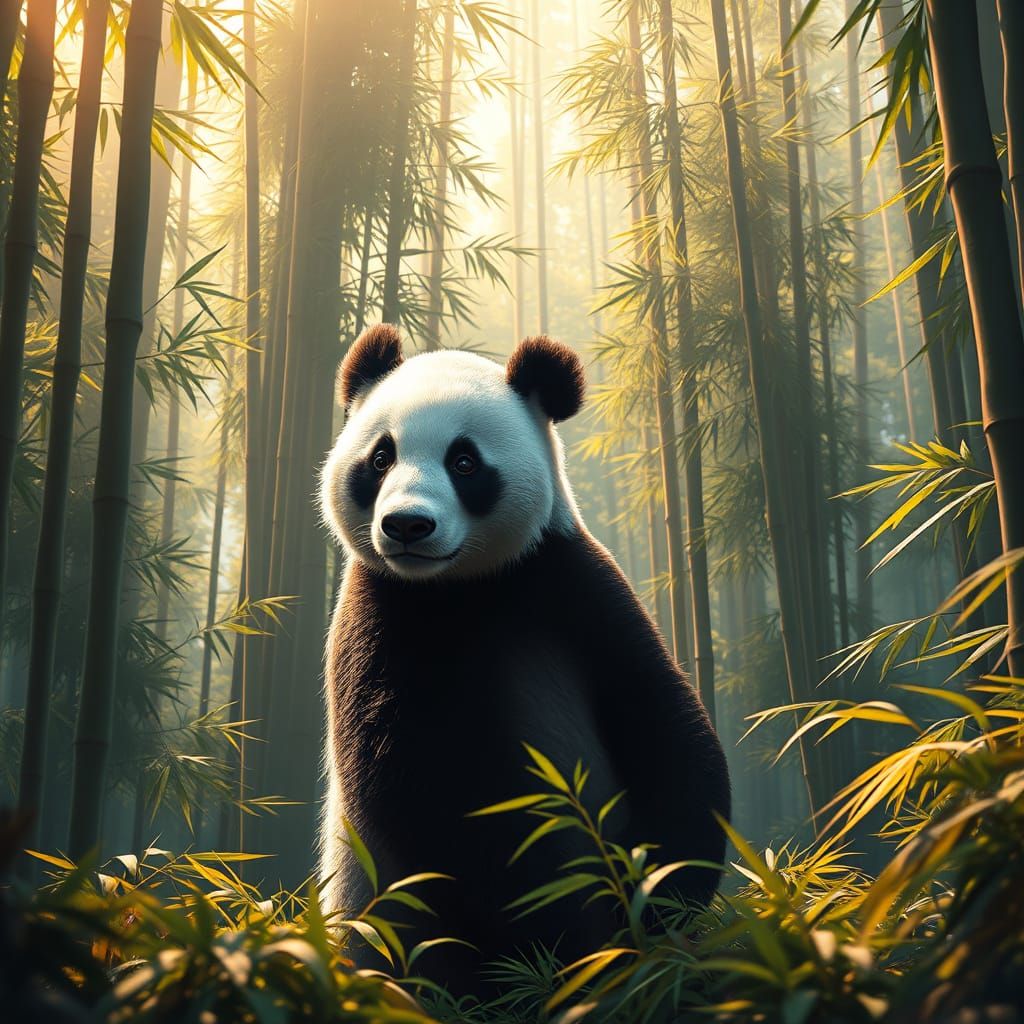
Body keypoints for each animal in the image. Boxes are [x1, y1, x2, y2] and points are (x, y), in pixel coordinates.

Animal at [319, 323, 730, 988]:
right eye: (380, 458)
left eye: (463, 461)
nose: (407, 525)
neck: (461, 588)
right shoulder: (378, 618)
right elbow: (418, 790)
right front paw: (553, 942)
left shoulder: (569, 585)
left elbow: (663, 723)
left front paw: (658, 903)